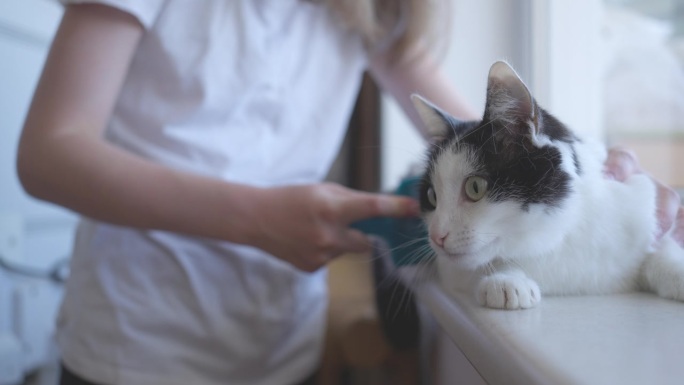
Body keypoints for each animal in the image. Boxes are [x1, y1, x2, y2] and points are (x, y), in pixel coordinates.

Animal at [412, 61, 684, 310]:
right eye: (432, 196)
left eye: (475, 187)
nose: (436, 236)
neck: (556, 239)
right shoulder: (453, 271)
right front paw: (507, 280)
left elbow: (662, 249)